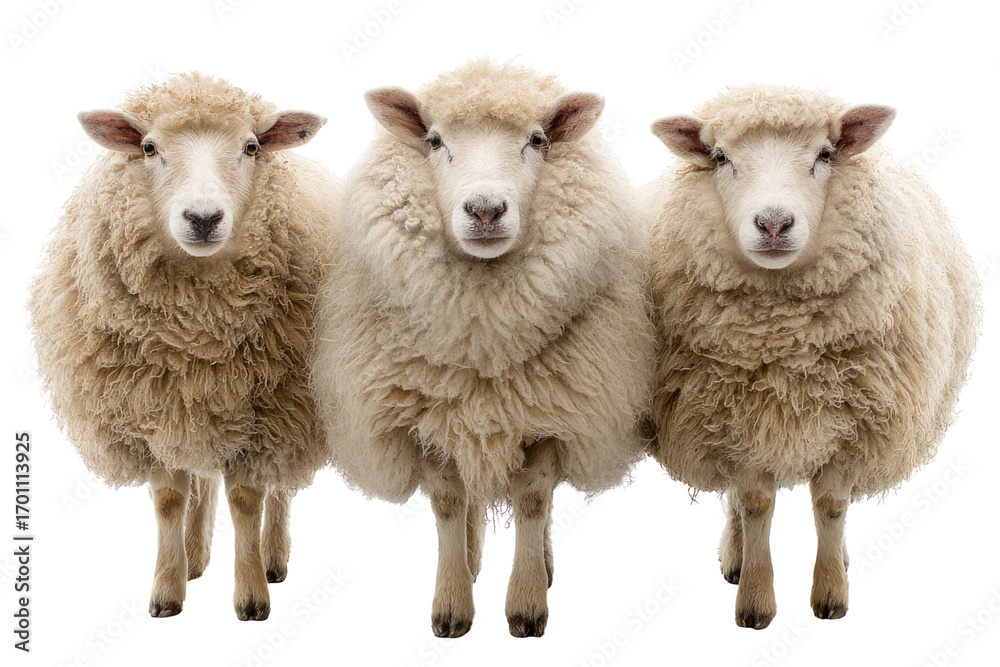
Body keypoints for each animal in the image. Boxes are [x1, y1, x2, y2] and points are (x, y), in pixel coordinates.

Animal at [27, 73, 337, 621]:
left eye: (251, 147)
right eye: (149, 148)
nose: (203, 218)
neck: (196, 336)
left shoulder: (267, 412)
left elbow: (248, 500)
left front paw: (251, 595)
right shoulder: (152, 409)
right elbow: (171, 500)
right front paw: (167, 591)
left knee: (279, 488)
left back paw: (273, 559)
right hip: (198, 407)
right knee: (202, 480)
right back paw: (195, 557)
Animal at [311, 60, 656, 638]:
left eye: (537, 140)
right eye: (433, 140)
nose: (486, 210)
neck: (483, 343)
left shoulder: (551, 415)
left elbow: (534, 498)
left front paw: (527, 604)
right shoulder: (423, 416)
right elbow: (450, 502)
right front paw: (451, 605)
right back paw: (471, 563)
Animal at [645, 85, 980, 629]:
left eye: (824, 154)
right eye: (720, 158)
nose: (774, 223)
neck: (786, 345)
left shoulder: (853, 422)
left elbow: (831, 508)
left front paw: (830, 595)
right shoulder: (738, 417)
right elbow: (754, 503)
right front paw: (756, 600)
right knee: (734, 498)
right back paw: (735, 558)